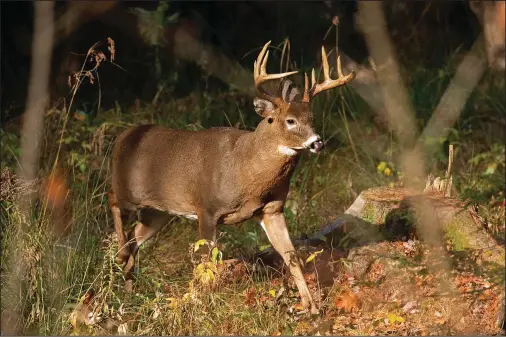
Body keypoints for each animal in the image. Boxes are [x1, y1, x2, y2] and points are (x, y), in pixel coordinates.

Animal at [109, 41, 356, 312]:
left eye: (311, 118)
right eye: (290, 120)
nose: (317, 142)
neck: (245, 172)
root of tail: (122, 137)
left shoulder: (271, 209)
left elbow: (290, 256)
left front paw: (310, 307)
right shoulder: (206, 208)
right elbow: (207, 263)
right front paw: (201, 304)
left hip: (159, 211)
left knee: (134, 238)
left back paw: (128, 290)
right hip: (126, 189)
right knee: (113, 204)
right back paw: (121, 261)